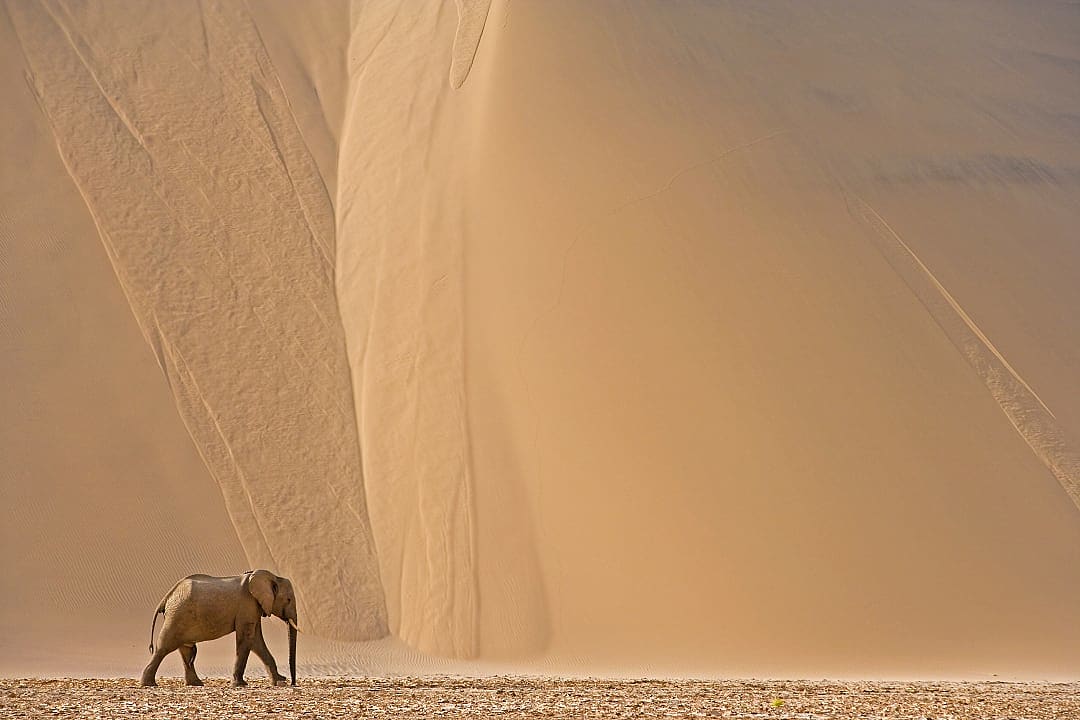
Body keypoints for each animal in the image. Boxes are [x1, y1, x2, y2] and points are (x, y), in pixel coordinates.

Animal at [140, 570, 300, 687]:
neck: (272, 577)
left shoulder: (254, 608)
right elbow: (246, 638)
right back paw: (149, 684)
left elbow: (256, 641)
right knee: (163, 647)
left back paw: (196, 684)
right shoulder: (247, 605)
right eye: (288, 600)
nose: (292, 683)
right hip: (177, 615)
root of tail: (167, 597)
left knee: (185, 649)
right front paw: (240, 685)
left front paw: (279, 681)